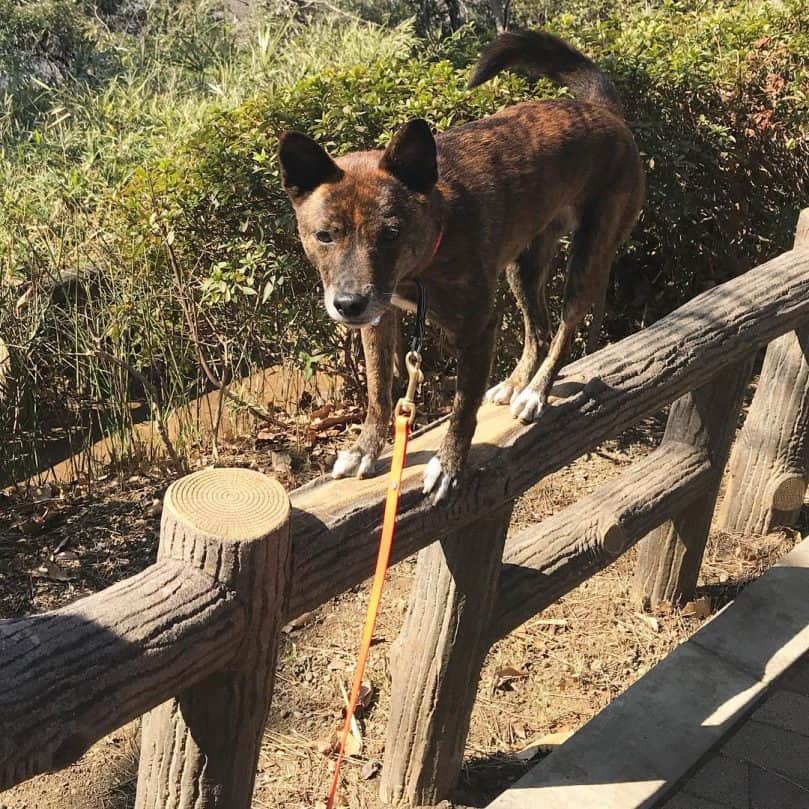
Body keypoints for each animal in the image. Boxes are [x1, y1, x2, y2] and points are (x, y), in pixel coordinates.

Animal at [278, 28, 644, 502]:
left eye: (391, 233)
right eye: (325, 235)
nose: (348, 305)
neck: (434, 238)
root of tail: (604, 111)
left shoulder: (478, 329)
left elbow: (462, 407)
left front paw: (449, 465)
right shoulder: (379, 320)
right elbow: (378, 391)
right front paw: (365, 448)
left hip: (588, 258)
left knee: (565, 329)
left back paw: (536, 393)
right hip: (524, 267)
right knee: (539, 330)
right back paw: (515, 383)